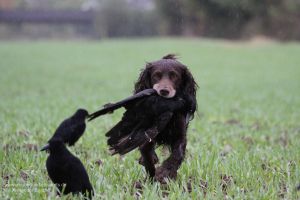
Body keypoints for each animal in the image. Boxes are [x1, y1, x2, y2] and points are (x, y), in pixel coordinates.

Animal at [134, 54, 197, 183]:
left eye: (175, 76)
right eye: (156, 76)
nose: (164, 91)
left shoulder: (180, 136)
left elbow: (178, 154)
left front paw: (165, 173)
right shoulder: (147, 135)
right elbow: (147, 155)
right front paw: (151, 177)